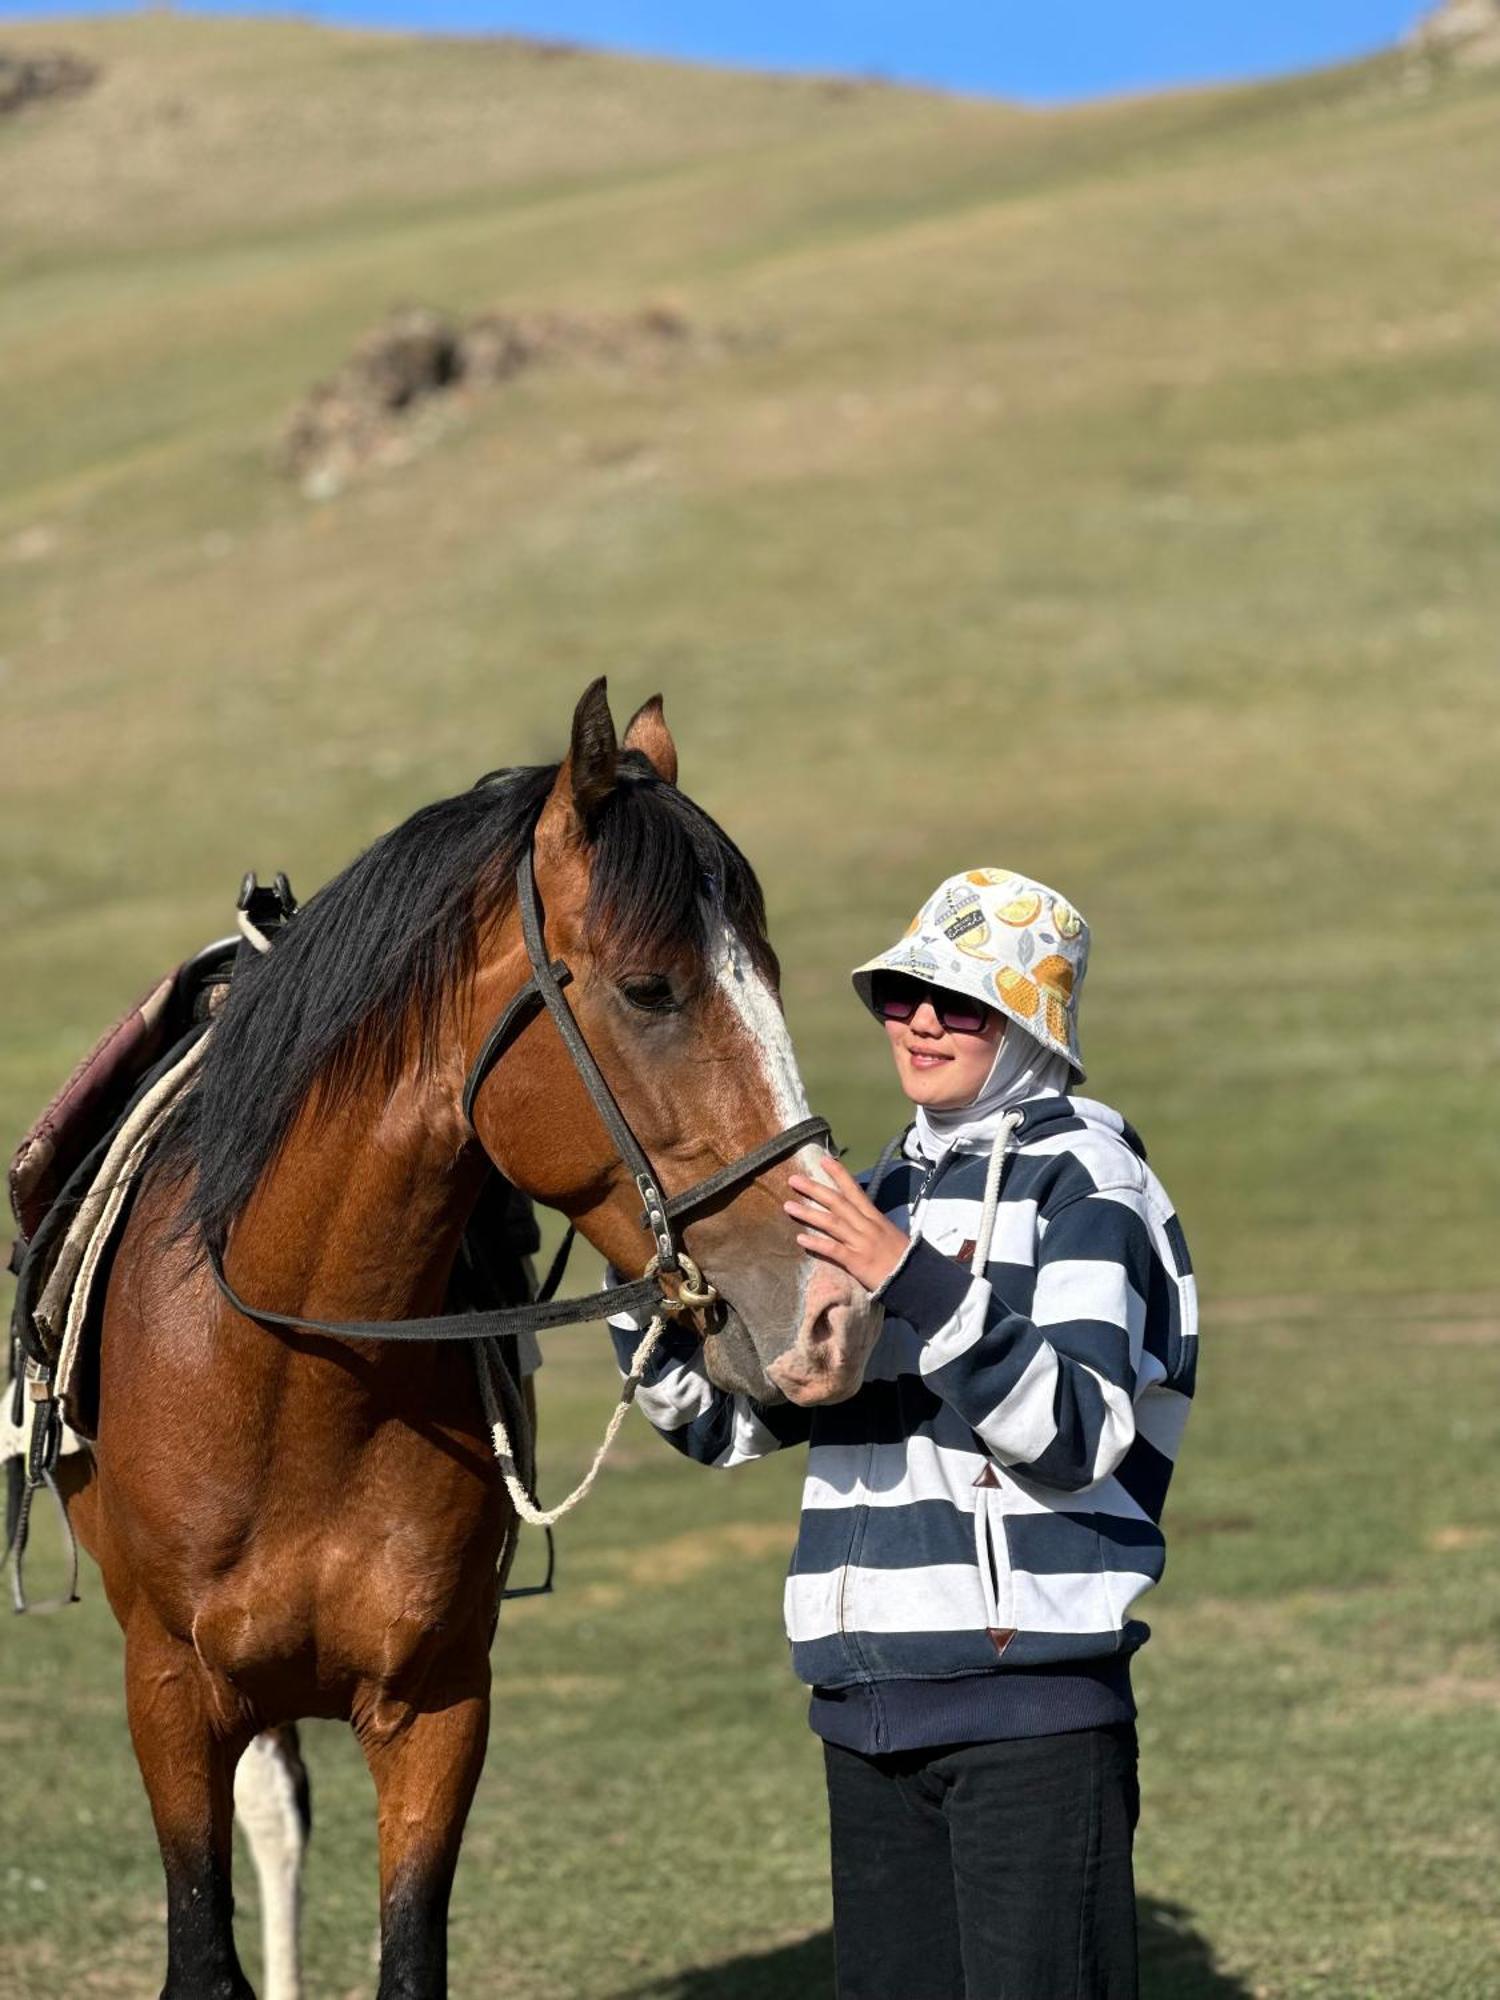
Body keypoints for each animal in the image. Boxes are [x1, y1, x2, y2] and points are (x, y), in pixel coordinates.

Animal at [58, 680, 880, 1992]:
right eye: (650, 988)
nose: (831, 1309)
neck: (299, 1376)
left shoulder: (439, 1704)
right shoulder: (173, 1694)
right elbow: (203, 1947)